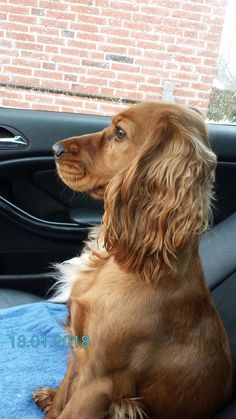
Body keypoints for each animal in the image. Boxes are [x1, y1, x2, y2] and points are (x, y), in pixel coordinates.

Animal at [32, 102, 232, 419]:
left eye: (120, 133)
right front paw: (54, 399)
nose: (55, 149)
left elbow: (69, 410)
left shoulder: (99, 382)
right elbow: (61, 402)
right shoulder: (79, 352)